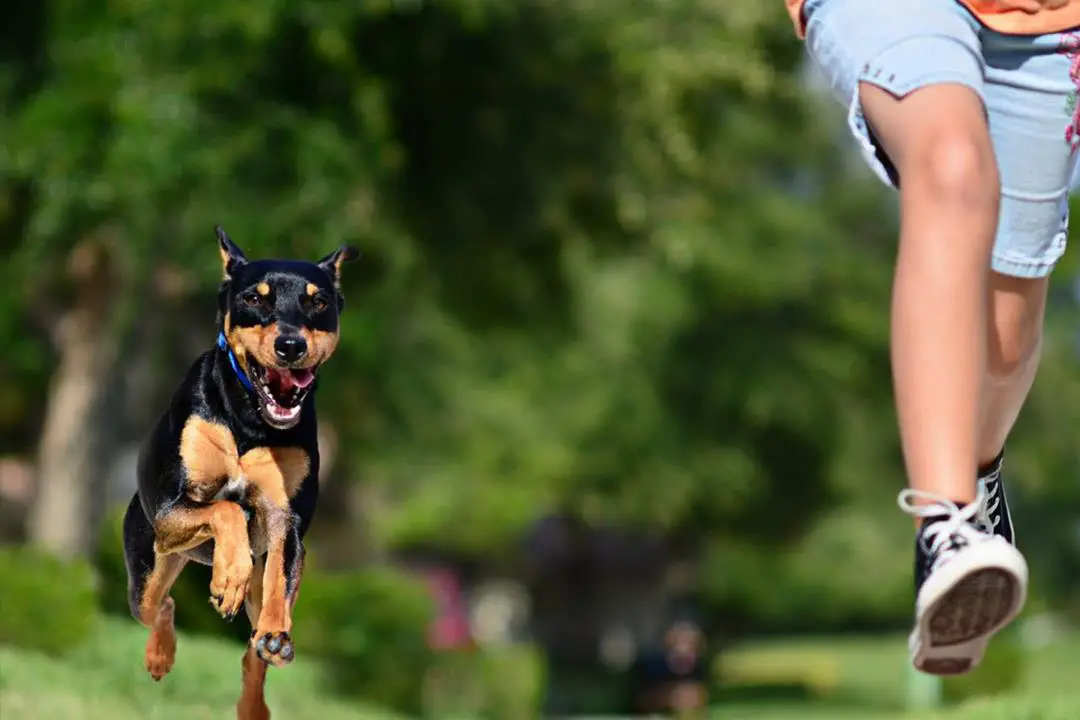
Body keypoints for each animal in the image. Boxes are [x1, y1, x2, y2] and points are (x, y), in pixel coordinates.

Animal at [122, 227, 358, 716]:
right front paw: (227, 576)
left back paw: (258, 691)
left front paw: (272, 629)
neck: (251, 419)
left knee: (253, 646)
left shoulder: (287, 520)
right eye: (254, 298)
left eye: (318, 302)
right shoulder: (173, 507)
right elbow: (226, 509)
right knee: (161, 605)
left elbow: (277, 578)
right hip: (150, 560)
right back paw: (160, 655)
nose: (291, 345)